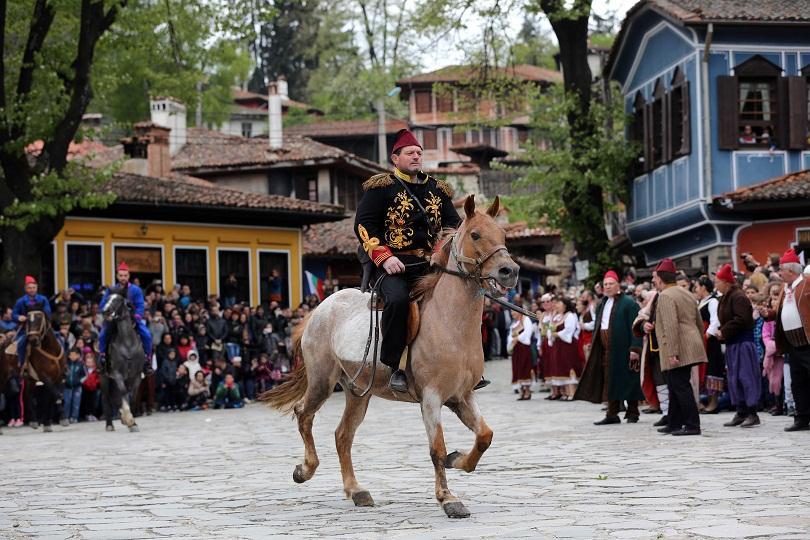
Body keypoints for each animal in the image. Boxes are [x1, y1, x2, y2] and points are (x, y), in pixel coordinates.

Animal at [102, 294, 144, 432]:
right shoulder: (117, 374)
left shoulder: (136, 376)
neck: (127, 343)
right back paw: (109, 425)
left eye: (117, 300)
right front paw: (129, 419)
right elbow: (124, 393)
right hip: (105, 378)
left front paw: (132, 422)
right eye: (107, 299)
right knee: (107, 400)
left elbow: (132, 397)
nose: (105, 311)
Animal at [262, 195, 520, 520]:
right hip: (322, 381)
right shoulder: (431, 397)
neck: (451, 322)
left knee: (342, 435)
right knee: (303, 414)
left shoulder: (462, 396)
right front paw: (448, 499)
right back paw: (305, 470)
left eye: (503, 235)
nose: (509, 271)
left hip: (358, 391)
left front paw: (458, 459)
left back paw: (356, 491)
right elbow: (436, 448)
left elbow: (485, 435)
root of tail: (320, 308)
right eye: (475, 235)